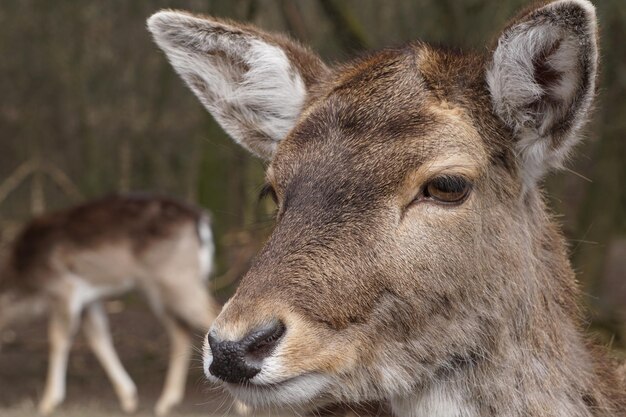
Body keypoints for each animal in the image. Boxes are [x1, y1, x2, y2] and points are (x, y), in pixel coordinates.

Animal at [0, 193, 218, 414]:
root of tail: (200, 218)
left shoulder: (64, 289)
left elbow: (57, 339)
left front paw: (47, 403)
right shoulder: (89, 299)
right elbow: (99, 338)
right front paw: (129, 398)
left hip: (176, 280)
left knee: (213, 313)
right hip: (161, 288)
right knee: (180, 331)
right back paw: (165, 403)